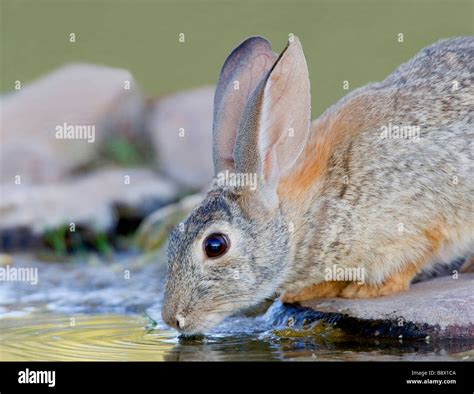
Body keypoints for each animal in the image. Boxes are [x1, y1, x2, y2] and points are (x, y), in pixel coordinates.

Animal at [162, 35, 474, 334]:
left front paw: (365, 290)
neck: (307, 216)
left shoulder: (419, 220)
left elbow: (413, 260)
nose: (172, 318)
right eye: (173, 236)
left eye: (215, 245)